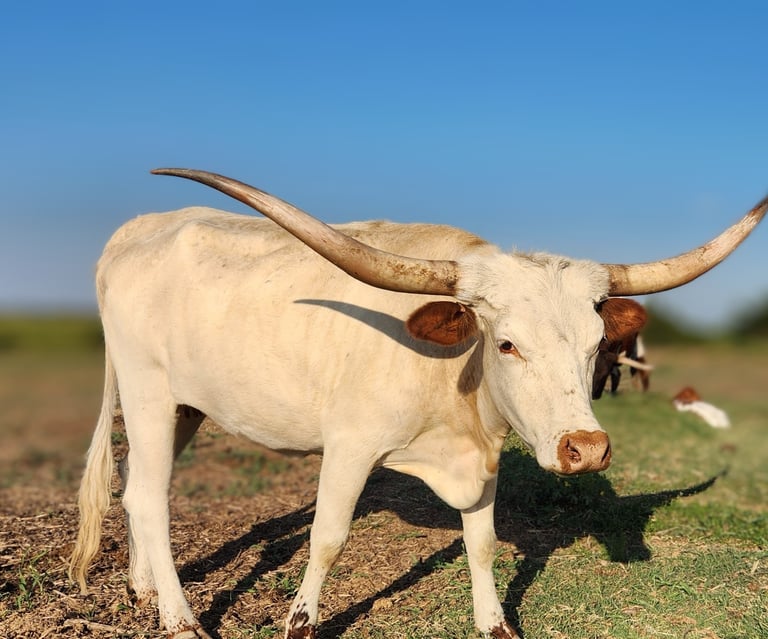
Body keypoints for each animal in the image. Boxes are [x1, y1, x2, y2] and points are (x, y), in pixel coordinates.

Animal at [69, 169, 767, 639]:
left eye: (599, 345)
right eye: (507, 343)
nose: (586, 449)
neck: (450, 383)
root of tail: (138, 228)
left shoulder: (483, 458)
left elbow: (481, 542)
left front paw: (493, 623)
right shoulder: (349, 447)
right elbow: (328, 536)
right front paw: (300, 621)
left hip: (183, 406)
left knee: (134, 482)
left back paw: (142, 588)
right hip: (148, 391)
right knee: (150, 496)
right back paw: (180, 617)